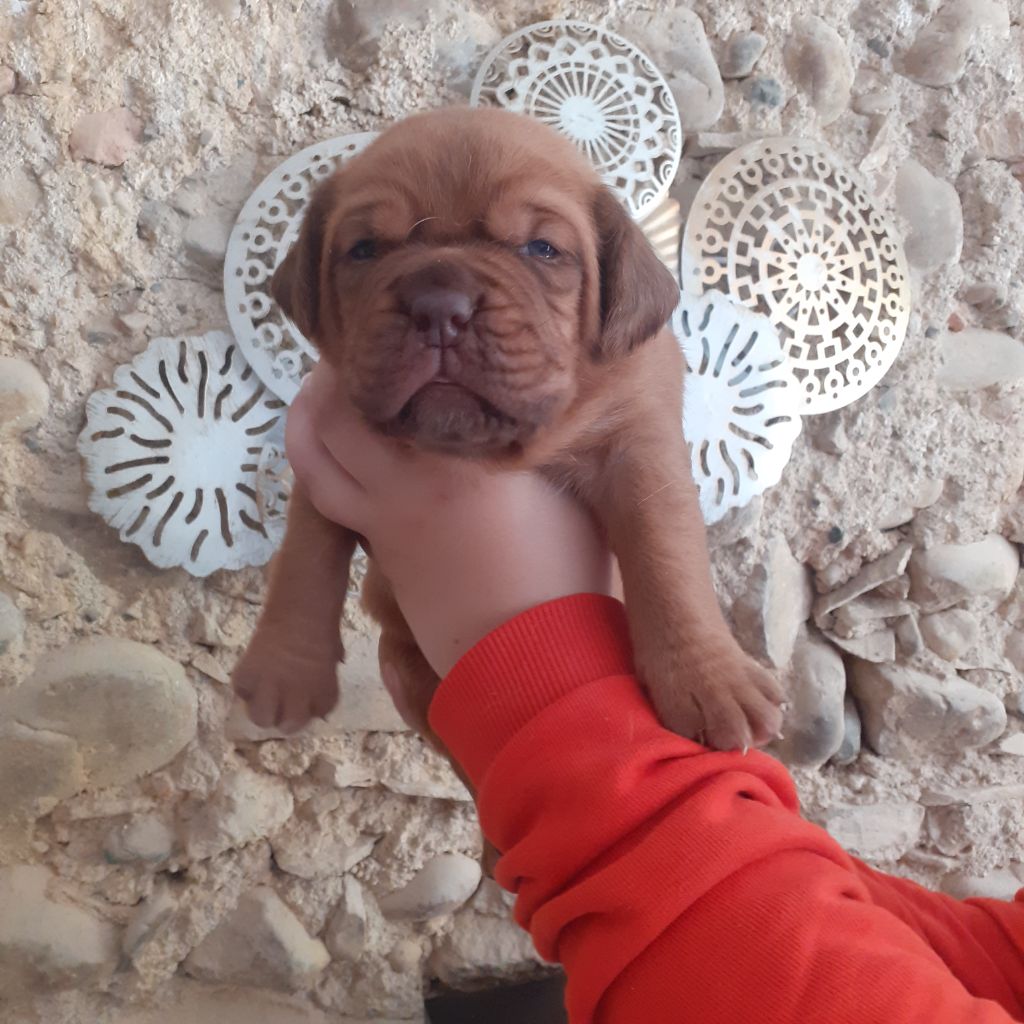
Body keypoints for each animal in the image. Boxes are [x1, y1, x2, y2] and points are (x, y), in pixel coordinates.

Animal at [233, 107, 783, 764]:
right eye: (364, 249)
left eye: (541, 249)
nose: (437, 304)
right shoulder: (322, 458)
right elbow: (305, 557)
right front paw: (285, 668)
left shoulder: (641, 450)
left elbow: (666, 556)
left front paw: (709, 681)